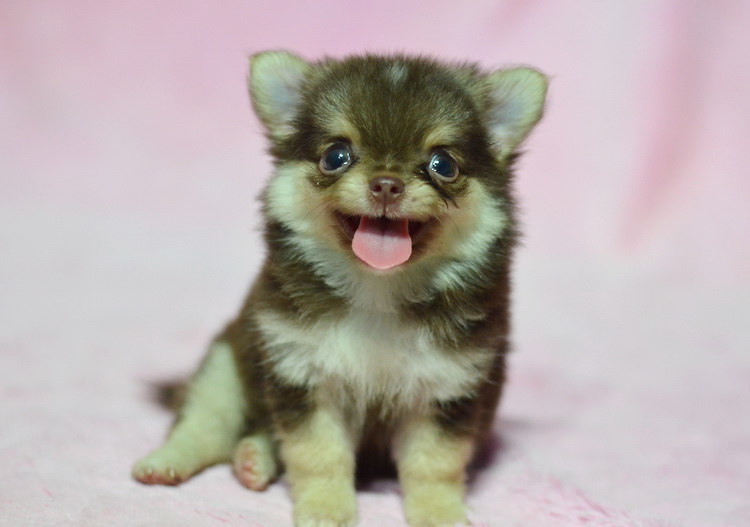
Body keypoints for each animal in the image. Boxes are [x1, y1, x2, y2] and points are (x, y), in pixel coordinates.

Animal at [133, 51, 547, 527]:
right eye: (336, 155)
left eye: (443, 164)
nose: (386, 183)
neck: (379, 290)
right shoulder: (304, 375)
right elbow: (318, 453)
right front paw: (326, 509)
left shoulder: (446, 389)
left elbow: (434, 465)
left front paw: (440, 514)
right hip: (224, 365)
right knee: (203, 425)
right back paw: (170, 461)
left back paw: (252, 458)